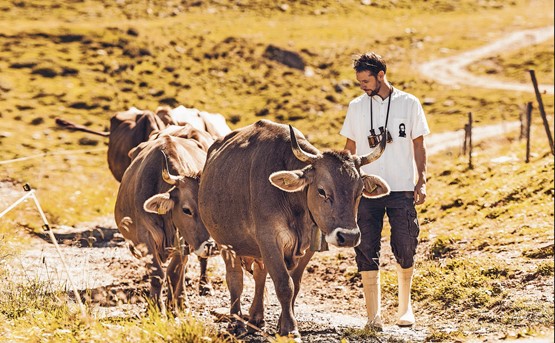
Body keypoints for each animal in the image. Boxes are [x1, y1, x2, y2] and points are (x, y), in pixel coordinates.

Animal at [115, 135, 217, 312]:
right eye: (186, 210)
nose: (210, 246)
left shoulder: (182, 240)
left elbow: (174, 273)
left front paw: (171, 305)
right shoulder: (145, 238)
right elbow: (157, 274)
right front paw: (155, 307)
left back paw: (185, 298)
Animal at [200, 119, 390, 340]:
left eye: (359, 193)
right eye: (322, 191)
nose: (349, 237)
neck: (295, 206)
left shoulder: (309, 245)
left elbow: (295, 285)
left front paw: (282, 324)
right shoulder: (269, 239)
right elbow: (284, 285)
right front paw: (291, 329)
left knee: (259, 276)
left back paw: (256, 318)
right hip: (225, 244)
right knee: (235, 280)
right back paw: (236, 323)